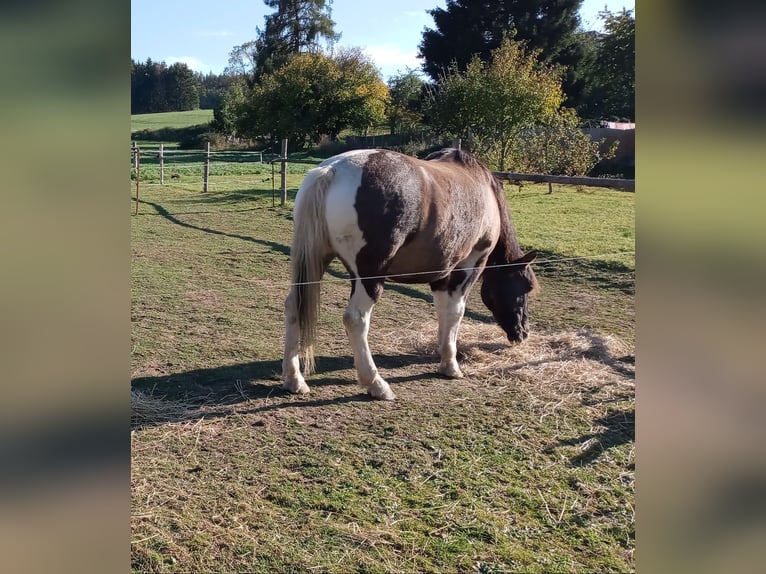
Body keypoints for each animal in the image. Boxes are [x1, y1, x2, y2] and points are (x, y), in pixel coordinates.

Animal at [282, 147, 538, 400]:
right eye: (525, 287)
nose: (523, 332)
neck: (484, 190)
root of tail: (332, 170)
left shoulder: (441, 273)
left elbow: (442, 310)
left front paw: (443, 352)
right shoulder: (470, 265)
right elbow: (456, 312)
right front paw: (451, 365)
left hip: (317, 261)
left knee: (294, 305)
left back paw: (295, 380)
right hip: (368, 278)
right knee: (356, 319)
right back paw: (376, 384)